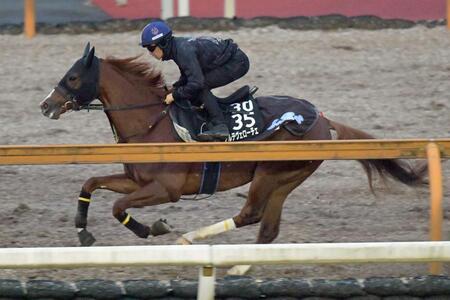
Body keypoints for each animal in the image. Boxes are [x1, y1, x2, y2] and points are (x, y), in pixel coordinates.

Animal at [38, 44, 426, 274]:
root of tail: (322, 118)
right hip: (285, 178)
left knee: (251, 214)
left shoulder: (166, 189)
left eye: (73, 76)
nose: (45, 105)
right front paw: (83, 230)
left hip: (272, 173)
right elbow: (90, 183)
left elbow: (119, 207)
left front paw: (151, 228)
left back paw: (192, 241)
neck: (151, 123)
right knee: (267, 227)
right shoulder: (136, 180)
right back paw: (239, 267)